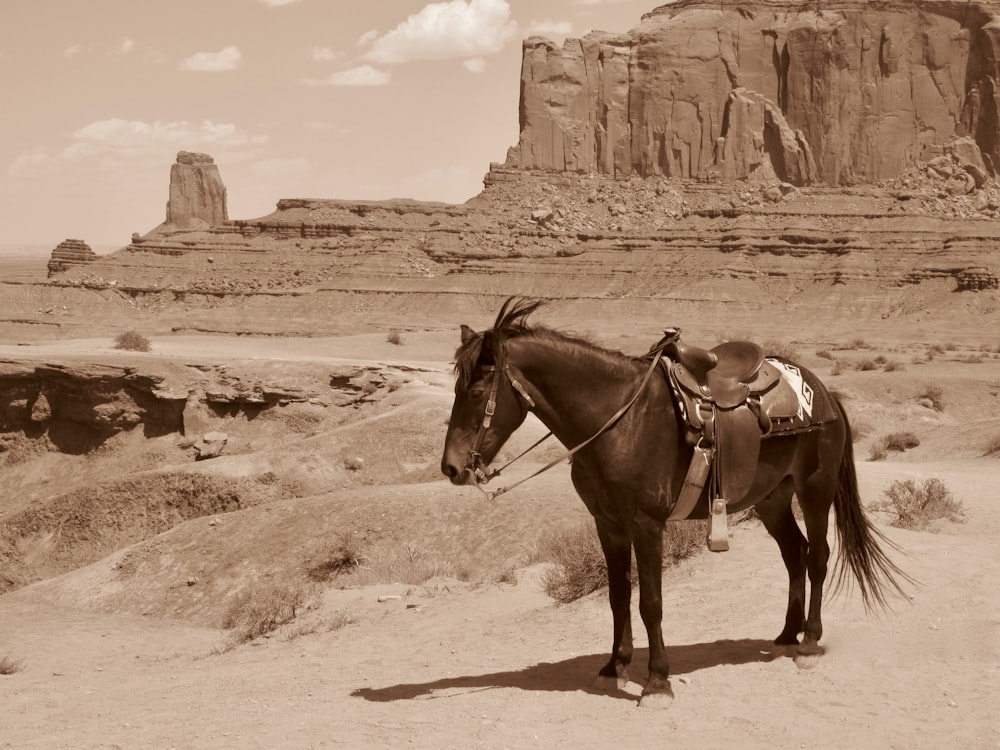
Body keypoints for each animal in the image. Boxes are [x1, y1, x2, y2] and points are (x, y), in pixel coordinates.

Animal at [442, 298, 912, 712]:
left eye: (477, 390)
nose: (451, 468)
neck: (619, 420)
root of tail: (825, 393)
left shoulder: (646, 524)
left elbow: (651, 603)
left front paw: (657, 683)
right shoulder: (607, 524)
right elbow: (617, 596)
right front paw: (614, 667)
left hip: (814, 489)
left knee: (817, 557)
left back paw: (810, 642)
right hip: (772, 500)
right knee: (795, 555)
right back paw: (785, 636)